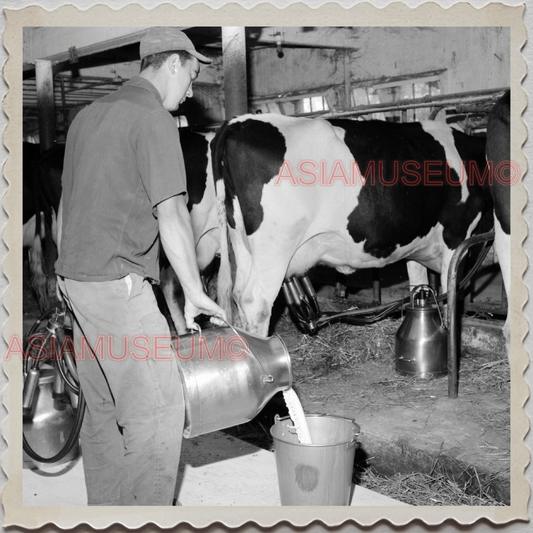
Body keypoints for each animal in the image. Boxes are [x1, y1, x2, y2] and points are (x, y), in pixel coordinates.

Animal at [213, 114, 490, 334]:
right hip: (275, 247)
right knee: (255, 302)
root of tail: (239, 122)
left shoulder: (415, 244)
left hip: (242, 243)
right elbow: (449, 296)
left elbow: (419, 286)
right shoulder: (457, 235)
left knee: (238, 295)